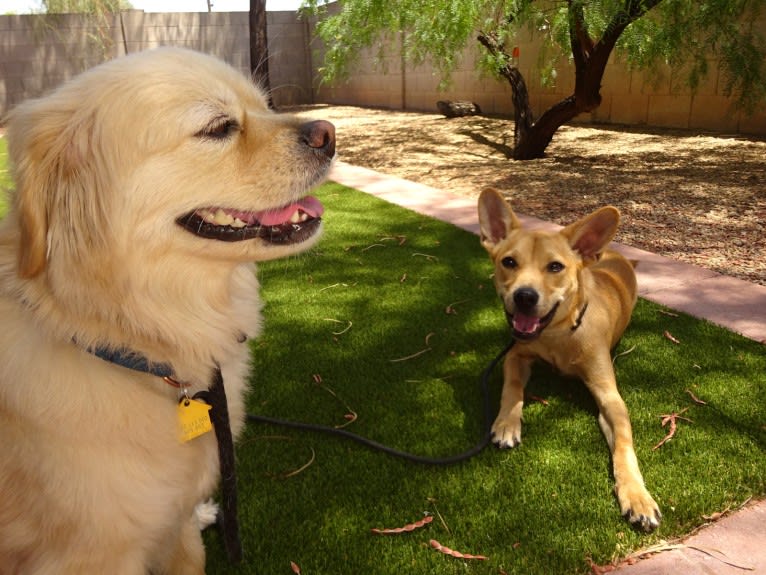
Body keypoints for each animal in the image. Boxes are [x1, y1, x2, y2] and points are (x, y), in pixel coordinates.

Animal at [476, 188, 664, 532]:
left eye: (555, 267)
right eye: (509, 261)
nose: (525, 296)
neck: (558, 335)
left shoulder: (610, 397)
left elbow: (624, 445)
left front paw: (637, 496)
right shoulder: (516, 354)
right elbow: (512, 387)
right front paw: (507, 422)